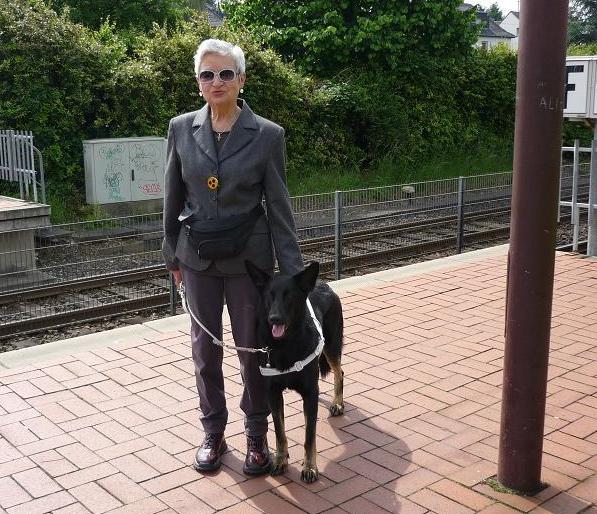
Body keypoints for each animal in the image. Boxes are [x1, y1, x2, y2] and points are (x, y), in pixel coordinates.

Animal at [246, 260, 344, 480]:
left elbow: (309, 436)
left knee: (339, 372)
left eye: (289, 295)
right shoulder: (273, 394)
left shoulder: (310, 393)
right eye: (269, 295)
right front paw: (281, 460)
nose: (274, 319)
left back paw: (337, 403)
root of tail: (322, 283)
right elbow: (279, 432)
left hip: (331, 346)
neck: (285, 345)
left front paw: (309, 467)